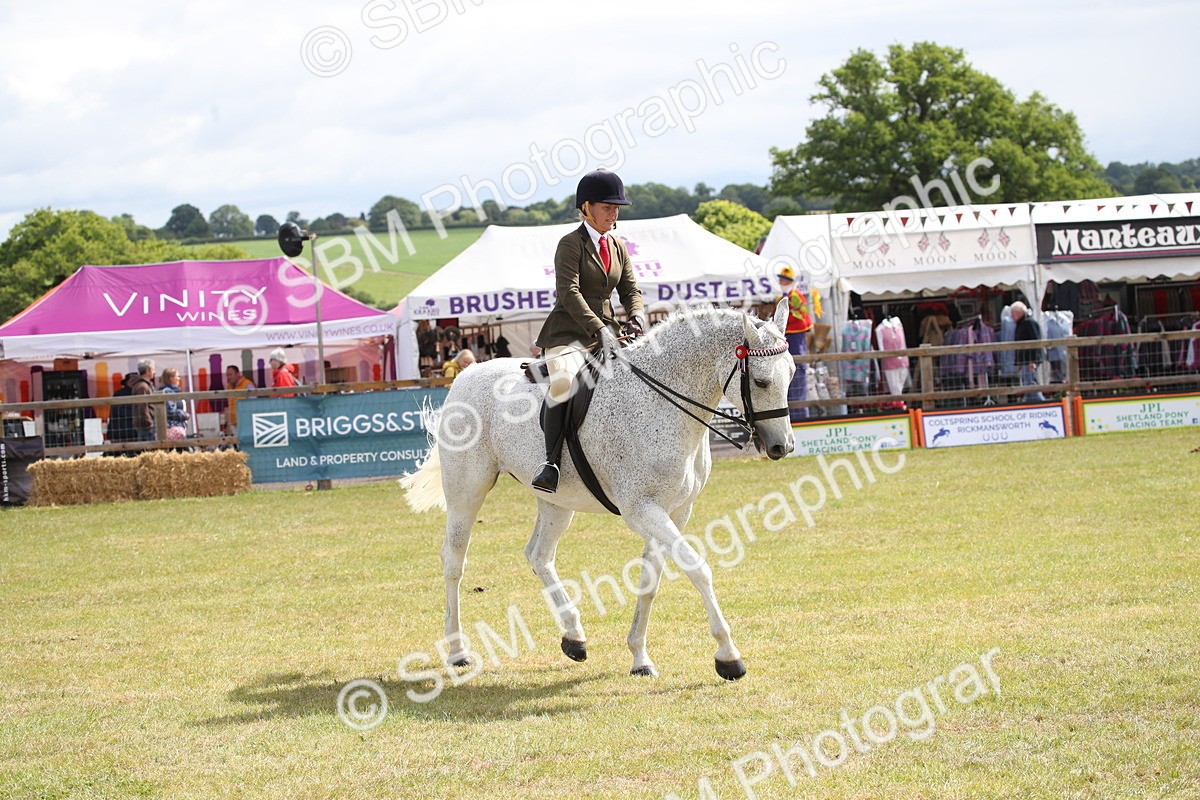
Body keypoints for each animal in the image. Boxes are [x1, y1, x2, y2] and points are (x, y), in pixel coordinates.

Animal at [401, 300, 796, 681]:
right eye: (761, 382)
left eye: (791, 373)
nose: (783, 447)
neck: (662, 402)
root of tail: (466, 375)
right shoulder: (643, 510)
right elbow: (697, 568)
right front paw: (729, 657)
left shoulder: (676, 510)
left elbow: (650, 582)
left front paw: (640, 658)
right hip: (467, 491)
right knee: (454, 561)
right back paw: (458, 651)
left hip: (556, 501)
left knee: (538, 555)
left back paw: (573, 638)